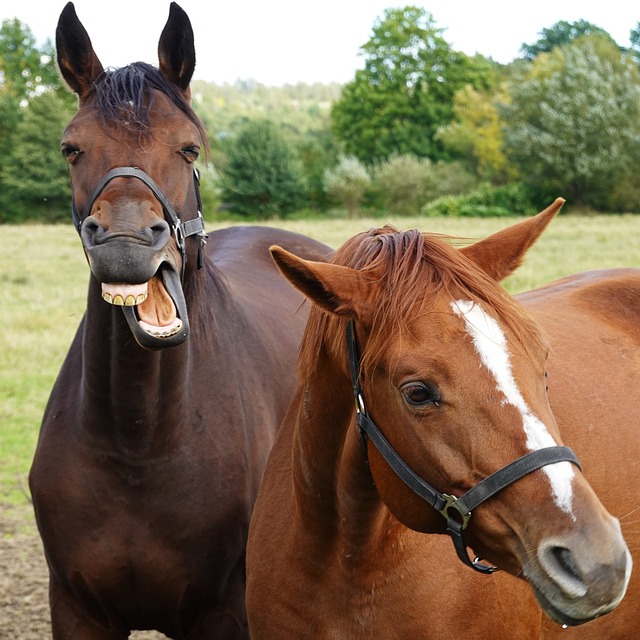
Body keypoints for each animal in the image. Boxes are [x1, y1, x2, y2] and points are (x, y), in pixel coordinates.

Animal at [29, 2, 328, 636]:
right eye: (71, 148)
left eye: (189, 148)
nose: (124, 245)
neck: (139, 442)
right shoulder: (76, 607)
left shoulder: (224, 613)